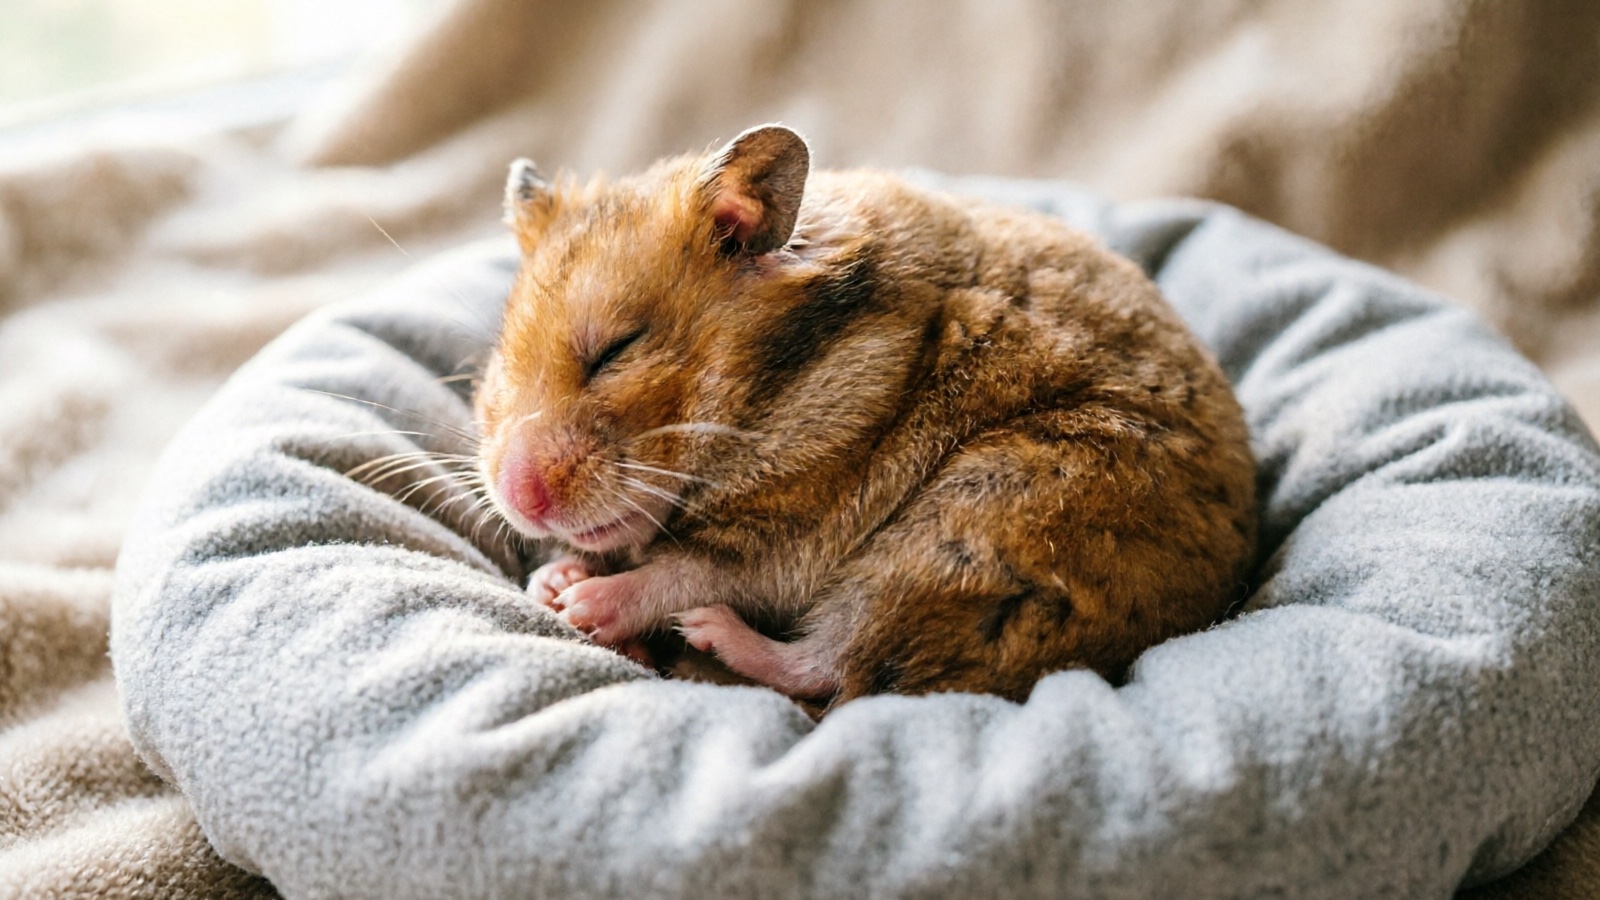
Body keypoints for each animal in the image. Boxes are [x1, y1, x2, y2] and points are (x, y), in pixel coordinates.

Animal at [473, 124, 1257, 707]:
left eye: (617, 349)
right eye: (499, 361)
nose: (519, 500)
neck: (767, 399)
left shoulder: (796, 539)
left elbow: (690, 571)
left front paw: (581, 604)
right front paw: (554, 581)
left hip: (974, 521)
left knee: (835, 662)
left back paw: (703, 633)